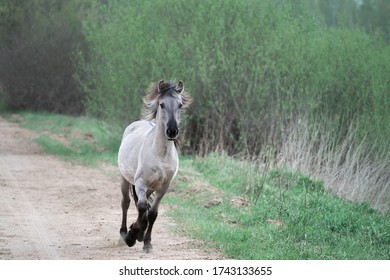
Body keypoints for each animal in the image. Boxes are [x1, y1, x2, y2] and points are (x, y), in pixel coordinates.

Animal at [118, 80, 193, 253]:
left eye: (180, 105)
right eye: (162, 104)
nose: (172, 131)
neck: (161, 155)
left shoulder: (164, 186)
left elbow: (152, 213)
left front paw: (146, 242)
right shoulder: (140, 182)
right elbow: (142, 207)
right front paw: (131, 237)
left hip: (150, 187)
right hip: (125, 179)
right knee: (126, 203)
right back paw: (124, 234)